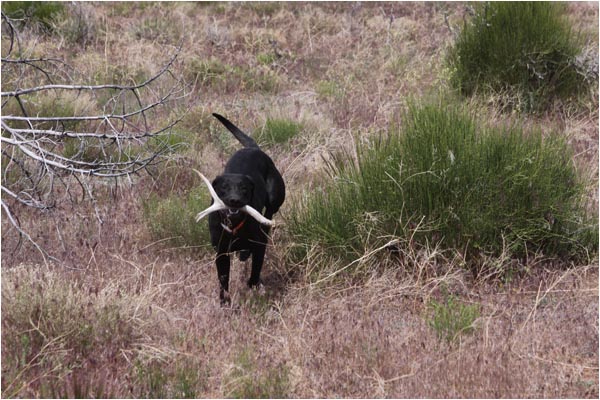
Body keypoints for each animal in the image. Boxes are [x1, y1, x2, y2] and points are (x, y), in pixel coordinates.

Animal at [195, 114, 284, 304]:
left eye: (243, 188)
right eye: (224, 188)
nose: (234, 200)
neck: (234, 227)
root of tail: (253, 148)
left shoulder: (259, 246)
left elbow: (256, 268)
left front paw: (253, 285)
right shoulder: (221, 254)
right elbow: (223, 280)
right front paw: (225, 301)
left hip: (275, 197)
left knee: (269, 213)